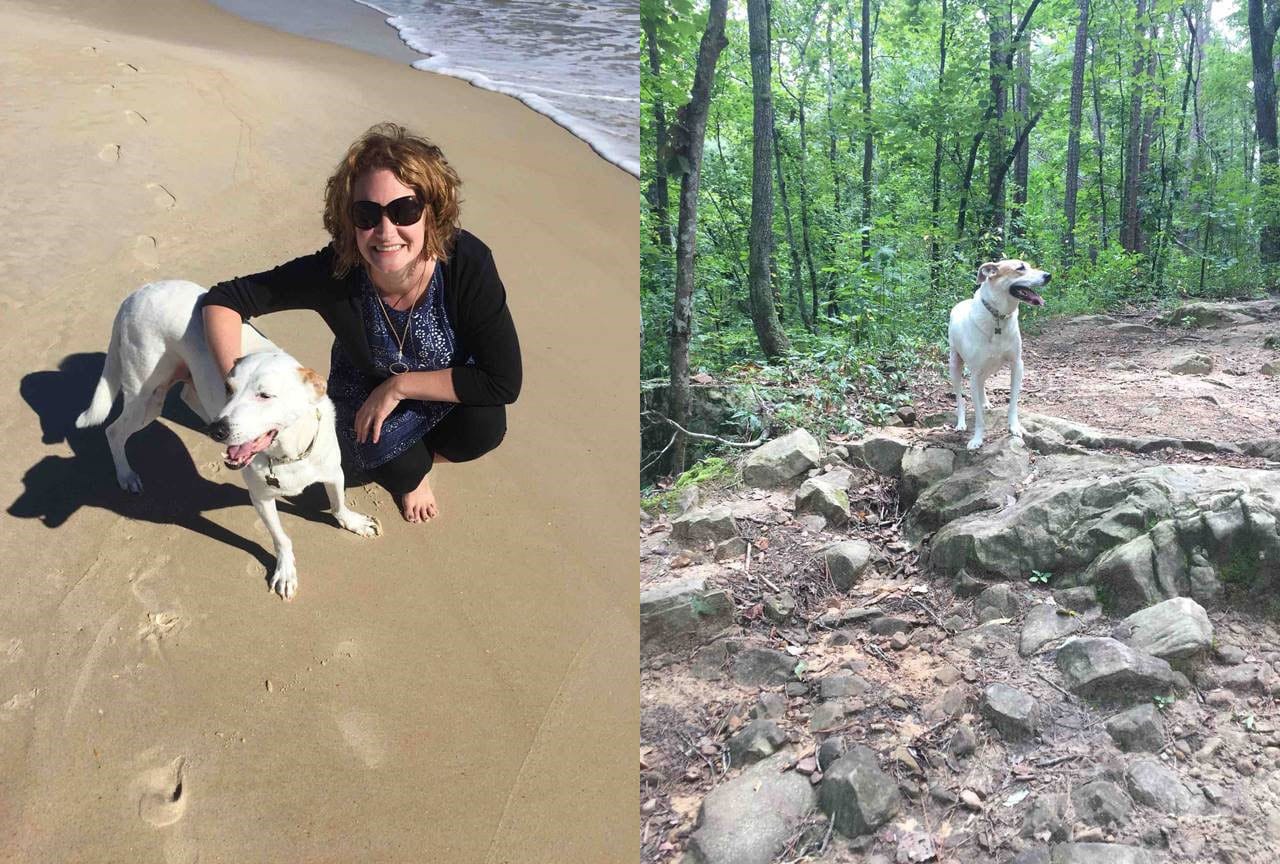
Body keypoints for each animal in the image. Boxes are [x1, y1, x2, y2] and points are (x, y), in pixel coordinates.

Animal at [76, 280, 378, 599]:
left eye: (264, 395)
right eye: (229, 388)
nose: (218, 431)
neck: (289, 453)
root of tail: (137, 293)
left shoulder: (333, 473)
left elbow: (338, 504)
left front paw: (353, 522)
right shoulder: (261, 497)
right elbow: (281, 538)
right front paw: (285, 571)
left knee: (187, 395)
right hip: (146, 398)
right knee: (113, 431)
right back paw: (126, 475)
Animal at [952, 258, 1049, 450]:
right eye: (1020, 268)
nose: (1048, 276)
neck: (997, 317)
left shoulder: (1017, 364)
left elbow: (1013, 404)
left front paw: (1014, 428)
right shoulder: (974, 373)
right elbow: (979, 417)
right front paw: (977, 439)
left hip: (991, 367)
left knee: (982, 384)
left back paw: (985, 402)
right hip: (955, 364)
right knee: (960, 397)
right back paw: (961, 422)